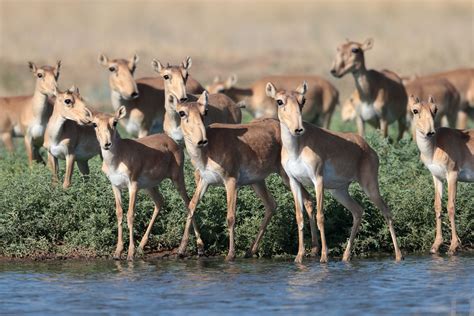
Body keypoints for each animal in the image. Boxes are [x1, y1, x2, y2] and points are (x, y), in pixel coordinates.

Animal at [87, 106, 204, 260]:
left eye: (115, 122)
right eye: (94, 124)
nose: (107, 144)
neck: (117, 159)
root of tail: (172, 141)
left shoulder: (133, 185)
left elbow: (130, 214)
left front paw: (130, 253)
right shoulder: (116, 186)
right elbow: (119, 213)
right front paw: (117, 252)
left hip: (177, 179)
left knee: (188, 203)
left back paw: (199, 247)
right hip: (150, 187)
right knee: (160, 201)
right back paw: (142, 246)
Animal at [174, 91, 318, 262]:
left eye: (205, 111)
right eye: (182, 113)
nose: (201, 140)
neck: (206, 152)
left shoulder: (231, 181)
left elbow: (230, 217)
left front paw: (230, 254)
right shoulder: (205, 181)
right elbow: (191, 206)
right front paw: (181, 250)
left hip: (286, 176)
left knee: (307, 200)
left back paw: (314, 250)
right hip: (257, 181)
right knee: (272, 204)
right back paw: (251, 250)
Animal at [268, 80, 402, 262]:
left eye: (303, 100)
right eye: (279, 101)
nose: (298, 129)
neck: (297, 148)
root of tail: (367, 147)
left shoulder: (318, 180)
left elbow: (320, 216)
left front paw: (324, 256)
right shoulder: (294, 181)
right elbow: (299, 217)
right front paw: (299, 257)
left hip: (370, 187)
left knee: (387, 212)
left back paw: (399, 255)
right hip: (339, 191)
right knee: (358, 211)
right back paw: (345, 256)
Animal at [410, 95, 472, 254]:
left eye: (435, 109)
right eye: (415, 110)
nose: (430, 132)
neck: (434, 147)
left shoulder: (453, 175)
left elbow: (451, 207)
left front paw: (453, 246)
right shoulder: (437, 177)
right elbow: (437, 206)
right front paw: (435, 245)